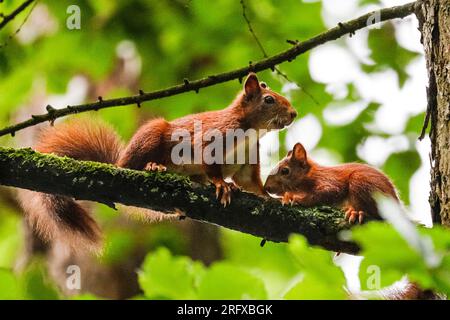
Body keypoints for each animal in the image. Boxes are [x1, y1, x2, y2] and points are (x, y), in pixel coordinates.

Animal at [19, 73, 298, 250]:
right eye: (269, 100)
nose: (294, 113)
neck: (250, 131)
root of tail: (117, 163)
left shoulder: (246, 163)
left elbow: (250, 182)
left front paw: (270, 196)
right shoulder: (212, 137)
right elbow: (211, 165)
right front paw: (221, 184)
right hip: (151, 137)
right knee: (133, 166)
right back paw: (154, 167)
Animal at [266, 142, 400, 222]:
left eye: (285, 171)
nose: (267, 187)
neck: (311, 175)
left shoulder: (329, 181)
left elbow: (323, 194)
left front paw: (299, 199)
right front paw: (287, 197)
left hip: (362, 182)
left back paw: (356, 212)